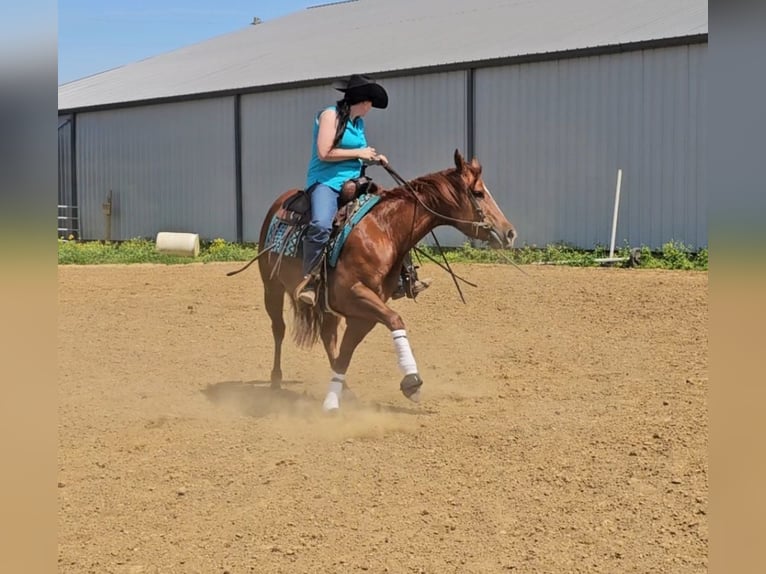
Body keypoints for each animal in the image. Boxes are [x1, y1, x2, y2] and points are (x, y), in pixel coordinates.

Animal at [256, 151, 516, 412]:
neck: (384, 231)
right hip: (271, 288)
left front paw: (333, 398)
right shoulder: (354, 294)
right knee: (279, 329)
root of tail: (280, 201)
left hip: (326, 307)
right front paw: (412, 381)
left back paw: (345, 390)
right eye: (478, 193)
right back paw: (276, 379)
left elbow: (345, 353)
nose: (510, 233)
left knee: (328, 337)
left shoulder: (363, 312)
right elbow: (394, 320)